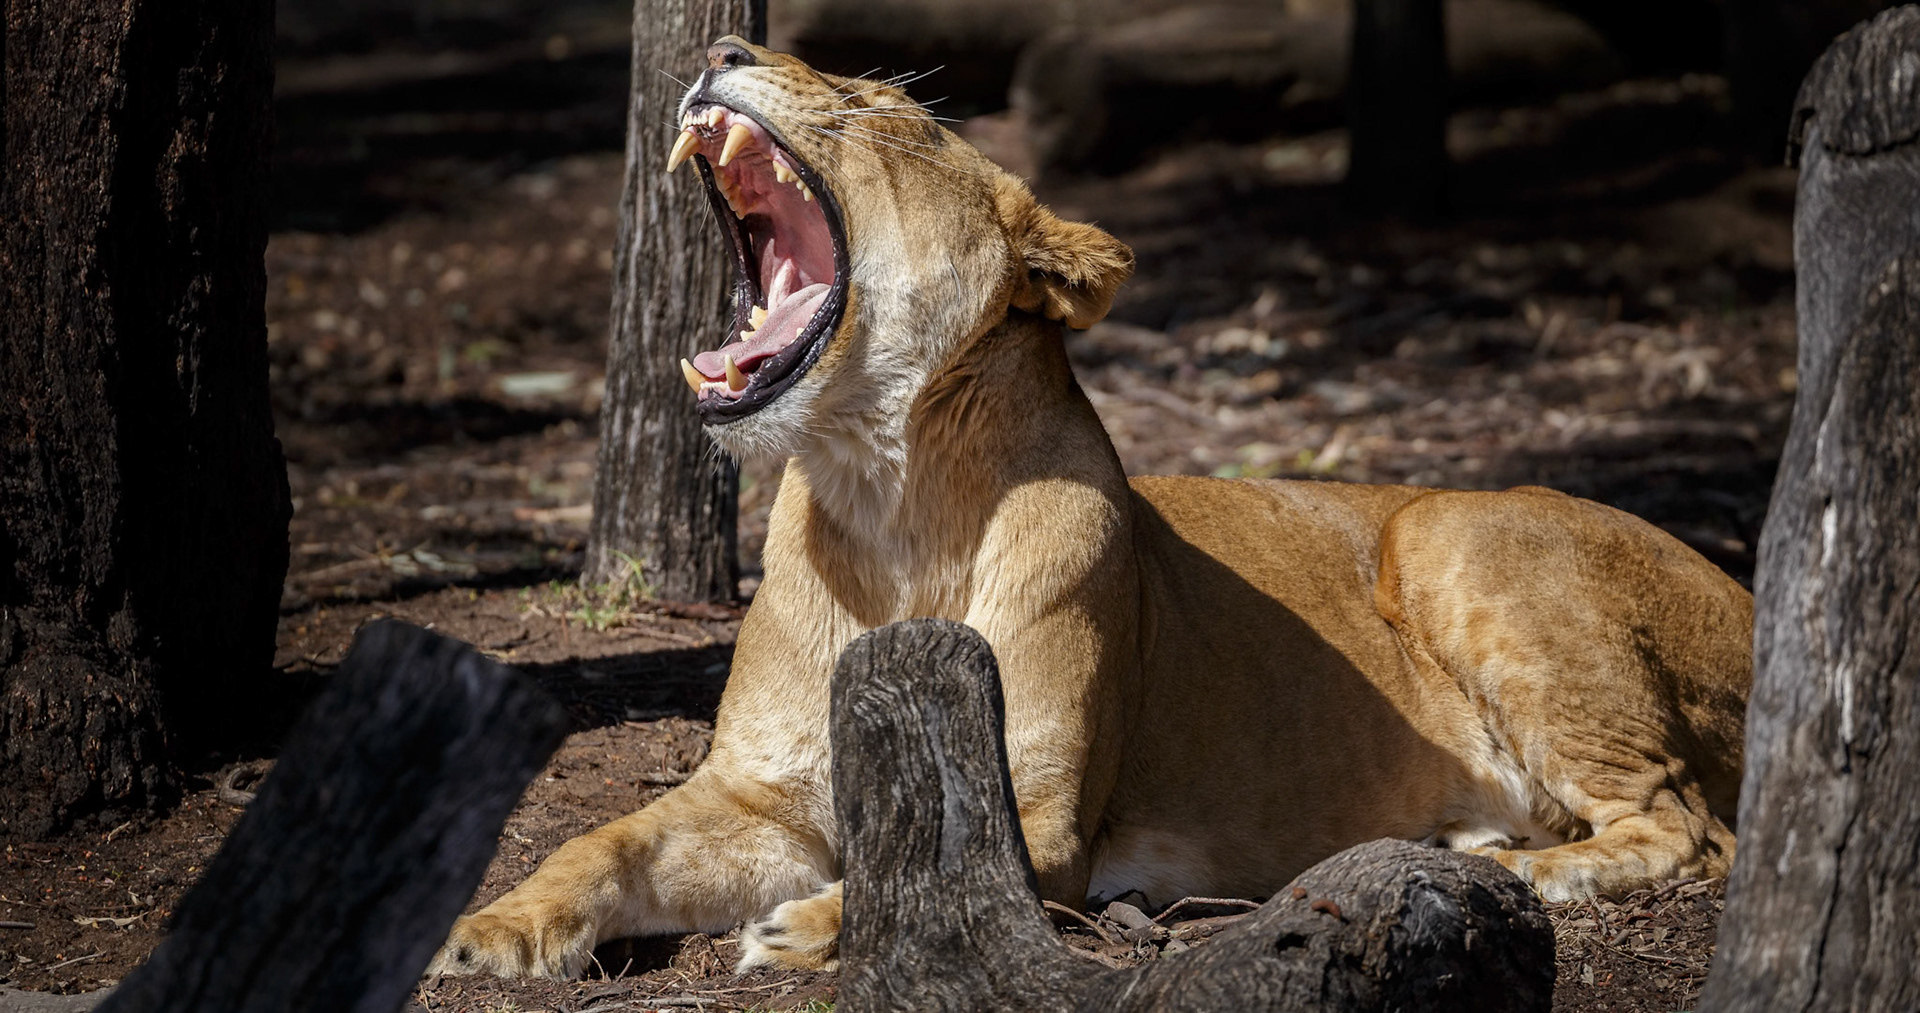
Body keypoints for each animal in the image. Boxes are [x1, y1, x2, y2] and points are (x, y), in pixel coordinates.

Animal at [429, 37, 1751, 978]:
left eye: (888, 107)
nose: (719, 44)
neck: (892, 502)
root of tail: (1742, 587)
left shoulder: (1045, 817)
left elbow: (943, 877)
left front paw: (807, 927)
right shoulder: (757, 800)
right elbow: (604, 837)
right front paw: (490, 928)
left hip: (1454, 529)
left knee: (1690, 825)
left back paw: (1537, 873)